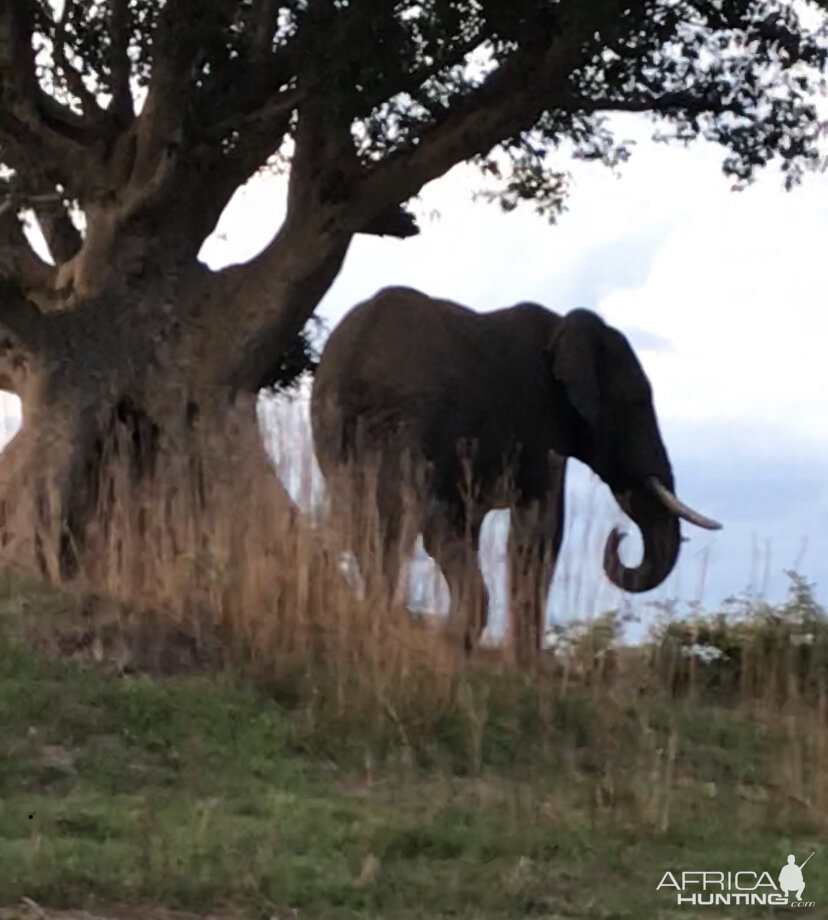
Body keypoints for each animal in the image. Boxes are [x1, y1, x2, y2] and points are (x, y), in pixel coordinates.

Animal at [308, 284, 720, 656]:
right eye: (636, 403)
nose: (619, 535)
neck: (563, 327)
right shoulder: (539, 423)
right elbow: (542, 527)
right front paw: (527, 664)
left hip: (341, 437)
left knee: (374, 526)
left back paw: (397, 622)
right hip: (413, 430)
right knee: (430, 526)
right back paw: (447, 634)